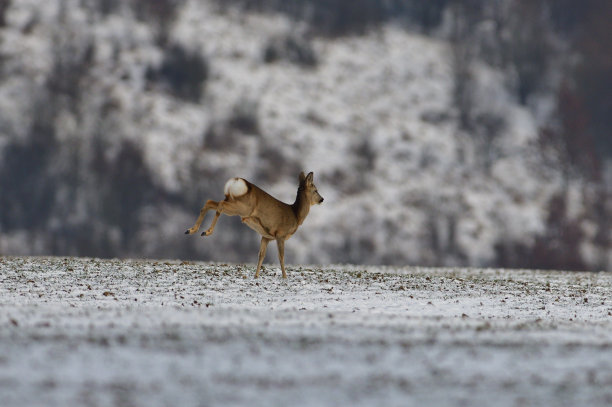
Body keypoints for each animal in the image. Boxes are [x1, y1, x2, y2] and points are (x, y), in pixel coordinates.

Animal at [184, 171, 322, 278]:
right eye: (315, 190)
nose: (322, 199)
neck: (296, 216)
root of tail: (237, 181)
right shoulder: (280, 235)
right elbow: (281, 256)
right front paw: (284, 276)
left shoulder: (266, 236)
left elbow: (261, 255)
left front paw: (256, 276)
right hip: (243, 208)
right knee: (219, 206)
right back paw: (207, 231)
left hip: (232, 200)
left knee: (210, 202)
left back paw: (192, 230)